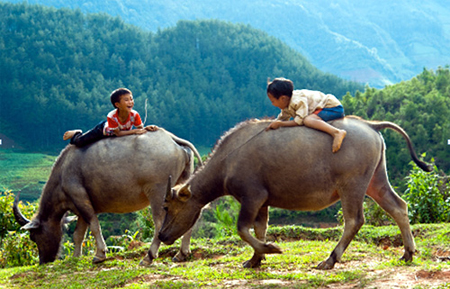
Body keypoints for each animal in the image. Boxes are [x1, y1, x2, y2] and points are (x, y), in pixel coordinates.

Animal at [13, 129, 202, 264]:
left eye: (33, 236)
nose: (43, 261)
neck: (63, 171)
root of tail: (173, 140)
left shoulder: (81, 200)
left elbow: (94, 226)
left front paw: (100, 255)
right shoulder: (79, 208)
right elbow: (78, 234)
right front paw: (75, 257)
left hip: (158, 192)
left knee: (159, 223)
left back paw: (149, 257)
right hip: (181, 186)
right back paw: (182, 254)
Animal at [159, 116, 432, 268]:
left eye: (169, 206)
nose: (161, 235)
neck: (228, 161)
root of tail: (369, 124)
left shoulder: (252, 196)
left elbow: (242, 228)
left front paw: (271, 249)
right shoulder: (263, 202)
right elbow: (259, 228)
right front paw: (256, 259)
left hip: (352, 185)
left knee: (354, 220)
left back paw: (330, 260)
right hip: (376, 180)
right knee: (399, 207)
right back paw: (408, 253)